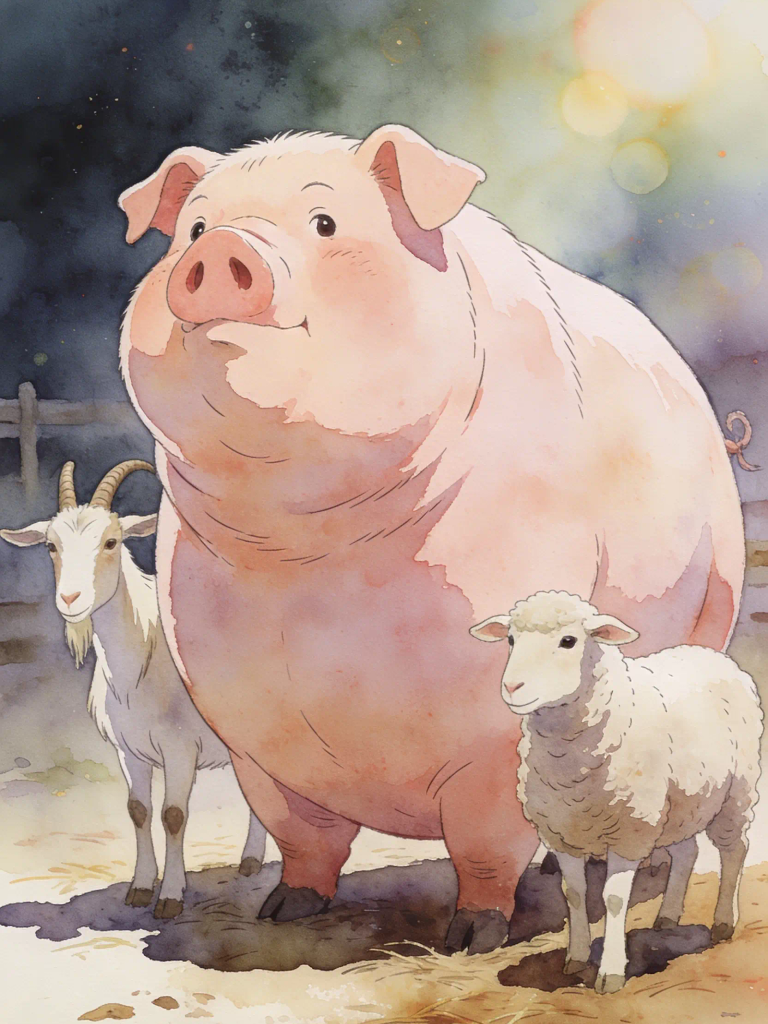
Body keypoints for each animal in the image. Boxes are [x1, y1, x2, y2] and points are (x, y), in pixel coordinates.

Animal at [1, 460, 269, 919]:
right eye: (51, 546)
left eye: (111, 541)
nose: (70, 599)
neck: (143, 661)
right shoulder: (128, 750)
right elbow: (139, 811)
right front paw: (141, 887)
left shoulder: (181, 750)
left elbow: (174, 815)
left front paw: (172, 896)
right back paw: (251, 861)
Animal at [471, 591, 763, 994]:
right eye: (511, 640)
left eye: (568, 641)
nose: (513, 687)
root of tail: (712, 654)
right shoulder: (562, 833)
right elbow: (574, 894)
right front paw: (576, 957)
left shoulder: (629, 833)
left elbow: (612, 898)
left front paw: (610, 971)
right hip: (677, 806)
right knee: (686, 852)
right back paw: (667, 915)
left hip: (736, 794)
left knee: (734, 851)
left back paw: (723, 921)